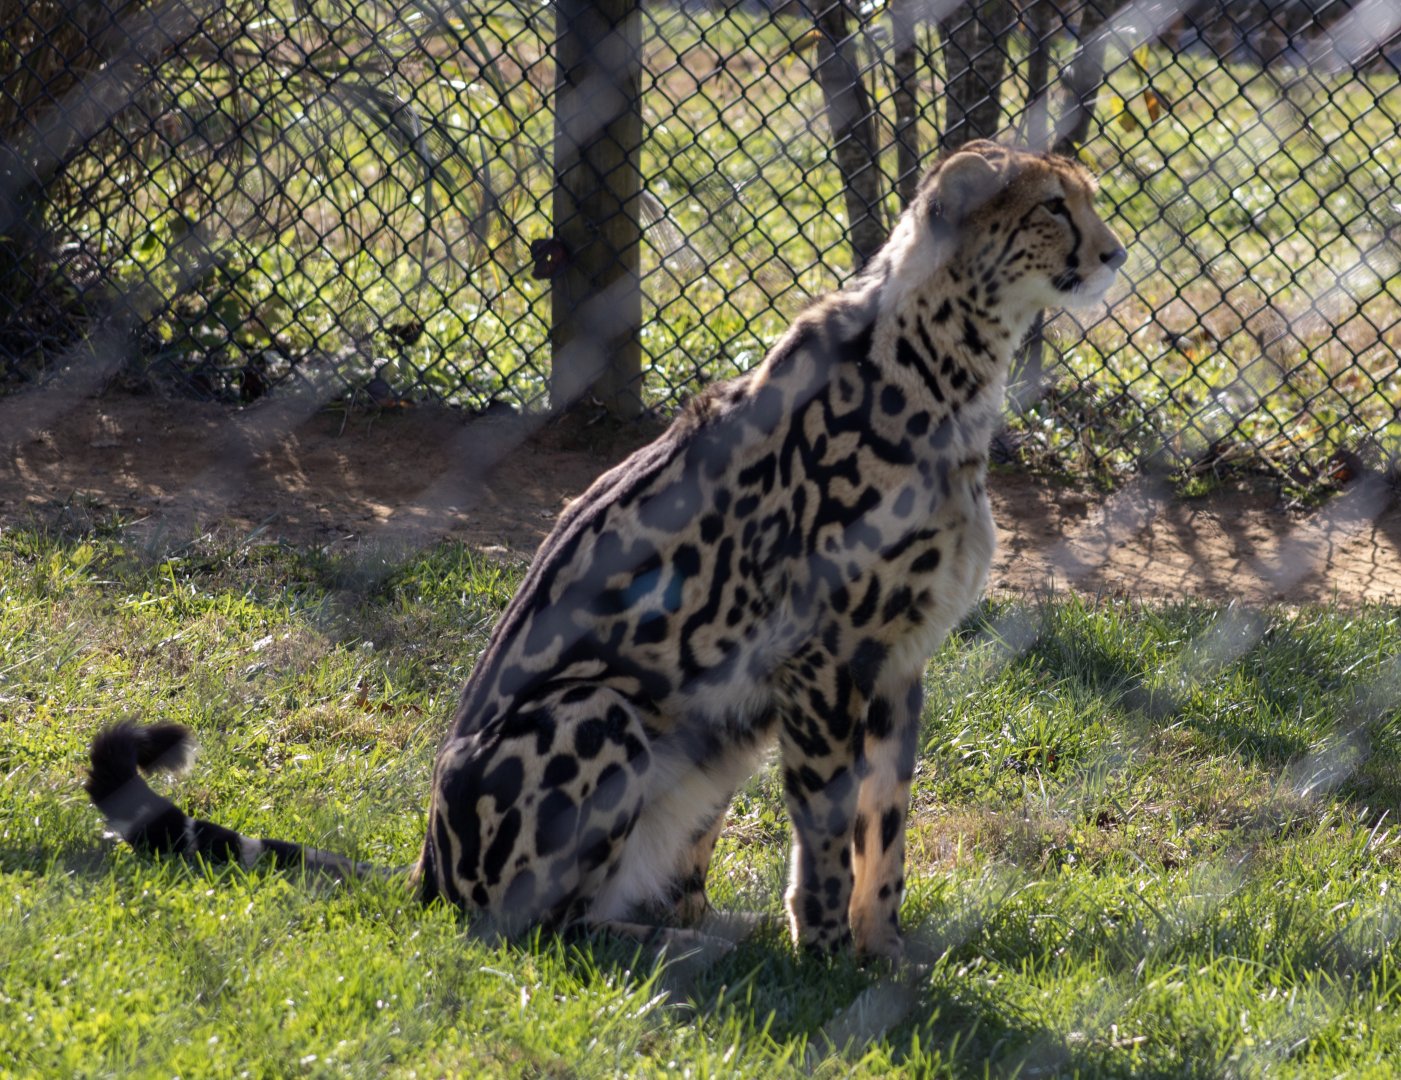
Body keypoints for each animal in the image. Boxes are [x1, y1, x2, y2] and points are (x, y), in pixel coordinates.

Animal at [86, 140, 1125, 959]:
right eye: (1051, 207)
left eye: (1085, 197)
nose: (1114, 253)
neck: (944, 358)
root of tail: (427, 868)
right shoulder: (824, 659)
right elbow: (831, 829)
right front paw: (828, 954)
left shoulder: (897, 662)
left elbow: (887, 825)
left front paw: (884, 953)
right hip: (606, 711)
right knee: (543, 926)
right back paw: (691, 948)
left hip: (717, 737)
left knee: (657, 890)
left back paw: (717, 929)